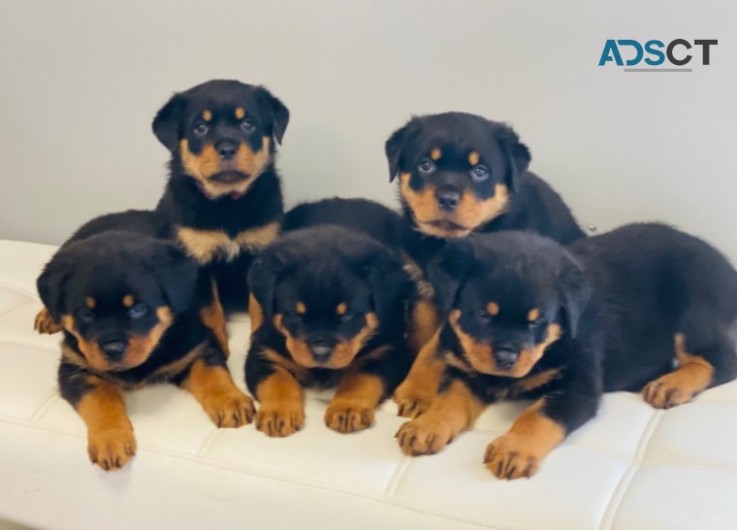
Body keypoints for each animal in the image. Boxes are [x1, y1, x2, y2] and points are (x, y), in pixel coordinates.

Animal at [37, 223, 253, 466]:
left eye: (138, 309)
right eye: (86, 313)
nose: (113, 350)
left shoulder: (197, 346)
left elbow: (213, 375)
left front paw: (232, 402)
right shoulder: (75, 368)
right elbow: (100, 399)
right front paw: (111, 441)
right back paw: (47, 316)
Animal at [154, 78, 288, 310]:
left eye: (248, 124)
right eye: (200, 127)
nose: (227, 148)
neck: (227, 201)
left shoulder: (261, 250)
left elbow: (258, 305)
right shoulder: (198, 257)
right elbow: (211, 310)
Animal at [244, 221, 412, 436]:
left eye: (347, 315)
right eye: (296, 314)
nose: (321, 352)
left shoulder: (390, 351)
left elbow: (361, 377)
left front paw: (347, 409)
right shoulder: (263, 352)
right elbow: (277, 381)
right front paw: (278, 412)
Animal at [386, 111, 588, 416]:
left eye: (480, 171)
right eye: (426, 165)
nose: (447, 198)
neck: (444, 243)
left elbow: (434, 348)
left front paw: (417, 391)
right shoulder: (422, 286)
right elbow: (420, 332)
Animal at [396, 223, 736, 478]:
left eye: (537, 321)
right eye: (481, 314)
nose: (506, 358)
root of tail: (726, 267)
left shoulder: (579, 385)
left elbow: (539, 415)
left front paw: (514, 448)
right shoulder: (468, 371)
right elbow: (448, 400)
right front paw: (426, 426)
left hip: (692, 309)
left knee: (720, 358)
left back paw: (671, 385)